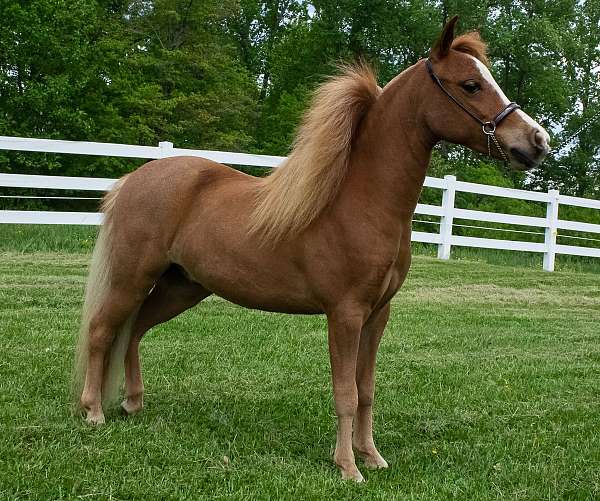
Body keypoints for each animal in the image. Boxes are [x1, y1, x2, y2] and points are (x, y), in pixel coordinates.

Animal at [74, 16, 548, 480]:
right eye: (470, 84)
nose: (537, 142)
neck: (362, 202)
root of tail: (133, 179)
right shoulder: (345, 314)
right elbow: (345, 393)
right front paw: (347, 466)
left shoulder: (377, 315)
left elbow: (366, 389)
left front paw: (371, 456)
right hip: (132, 278)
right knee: (101, 331)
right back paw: (94, 412)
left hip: (181, 286)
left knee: (134, 331)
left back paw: (133, 403)